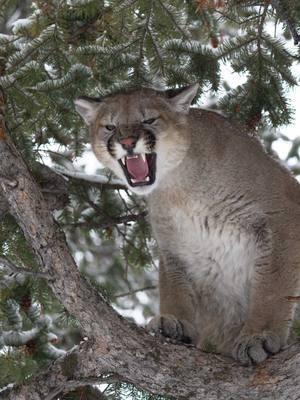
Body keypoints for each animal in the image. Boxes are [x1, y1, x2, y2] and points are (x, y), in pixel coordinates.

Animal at [74, 85, 300, 366]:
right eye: (110, 126)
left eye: (149, 120)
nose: (127, 143)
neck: (177, 187)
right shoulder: (173, 244)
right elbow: (174, 286)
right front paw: (173, 321)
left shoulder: (282, 216)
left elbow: (271, 285)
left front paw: (259, 336)